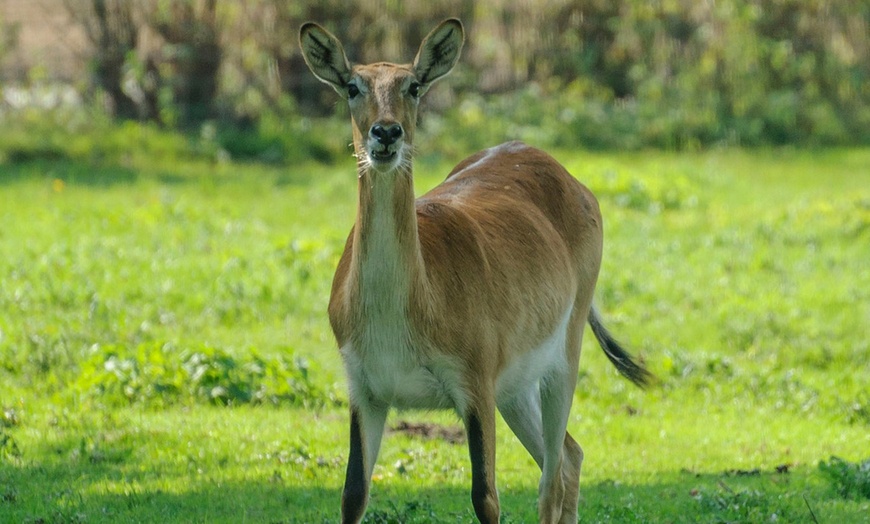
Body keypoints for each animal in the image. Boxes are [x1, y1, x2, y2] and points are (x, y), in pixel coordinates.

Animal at [300, 18, 656, 524]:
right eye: (352, 85)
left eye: (413, 85)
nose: (385, 133)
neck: (403, 310)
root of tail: (566, 174)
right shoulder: (366, 391)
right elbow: (352, 495)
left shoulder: (474, 386)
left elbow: (485, 497)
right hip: (516, 389)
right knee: (570, 456)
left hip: (560, 361)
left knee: (551, 478)